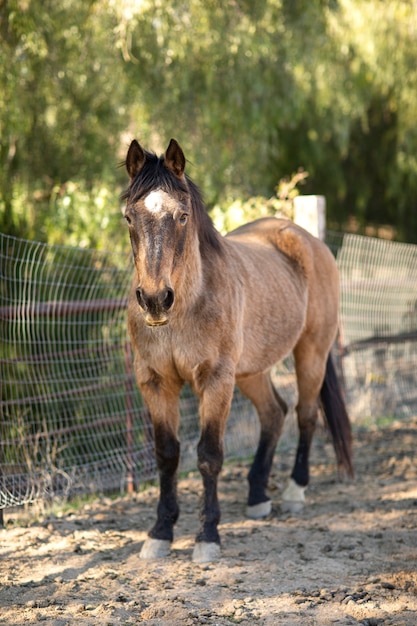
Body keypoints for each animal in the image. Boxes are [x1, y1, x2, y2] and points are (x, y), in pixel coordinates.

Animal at [122, 139, 352, 564]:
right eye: (129, 217)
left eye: (182, 216)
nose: (155, 299)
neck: (187, 306)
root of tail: (307, 240)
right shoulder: (155, 382)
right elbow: (167, 455)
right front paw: (160, 533)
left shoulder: (215, 380)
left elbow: (209, 455)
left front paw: (207, 537)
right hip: (251, 372)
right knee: (274, 413)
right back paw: (258, 495)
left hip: (310, 353)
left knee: (306, 415)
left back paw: (294, 492)